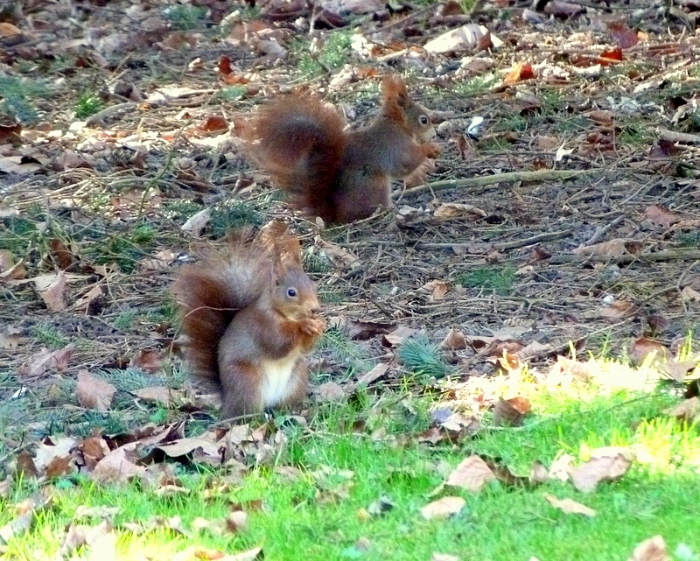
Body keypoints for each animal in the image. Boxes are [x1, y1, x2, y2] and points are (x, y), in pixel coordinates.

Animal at [172, 221, 326, 418]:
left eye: (313, 285)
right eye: (291, 292)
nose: (315, 309)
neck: (285, 315)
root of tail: (227, 400)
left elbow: (305, 348)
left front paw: (319, 325)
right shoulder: (263, 324)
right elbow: (278, 343)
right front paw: (304, 325)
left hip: (297, 377)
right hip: (247, 382)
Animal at [244, 75, 441, 224]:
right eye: (424, 120)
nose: (434, 135)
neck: (397, 124)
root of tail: (337, 217)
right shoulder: (394, 145)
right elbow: (404, 164)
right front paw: (431, 149)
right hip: (375, 186)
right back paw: (388, 212)